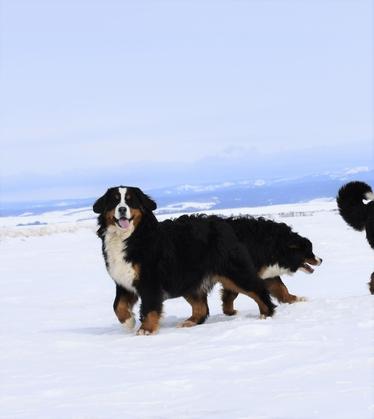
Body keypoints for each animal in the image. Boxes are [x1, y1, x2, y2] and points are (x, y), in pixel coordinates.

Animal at [93, 185, 274, 336]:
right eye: (115, 200)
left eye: (130, 201)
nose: (122, 209)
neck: (131, 237)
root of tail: (226, 222)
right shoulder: (123, 281)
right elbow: (118, 306)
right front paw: (128, 322)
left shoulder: (150, 280)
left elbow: (149, 307)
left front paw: (146, 330)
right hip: (189, 281)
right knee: (201, 308)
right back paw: (189, 322)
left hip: (232, 271)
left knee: (258, 289)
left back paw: (267, 314)